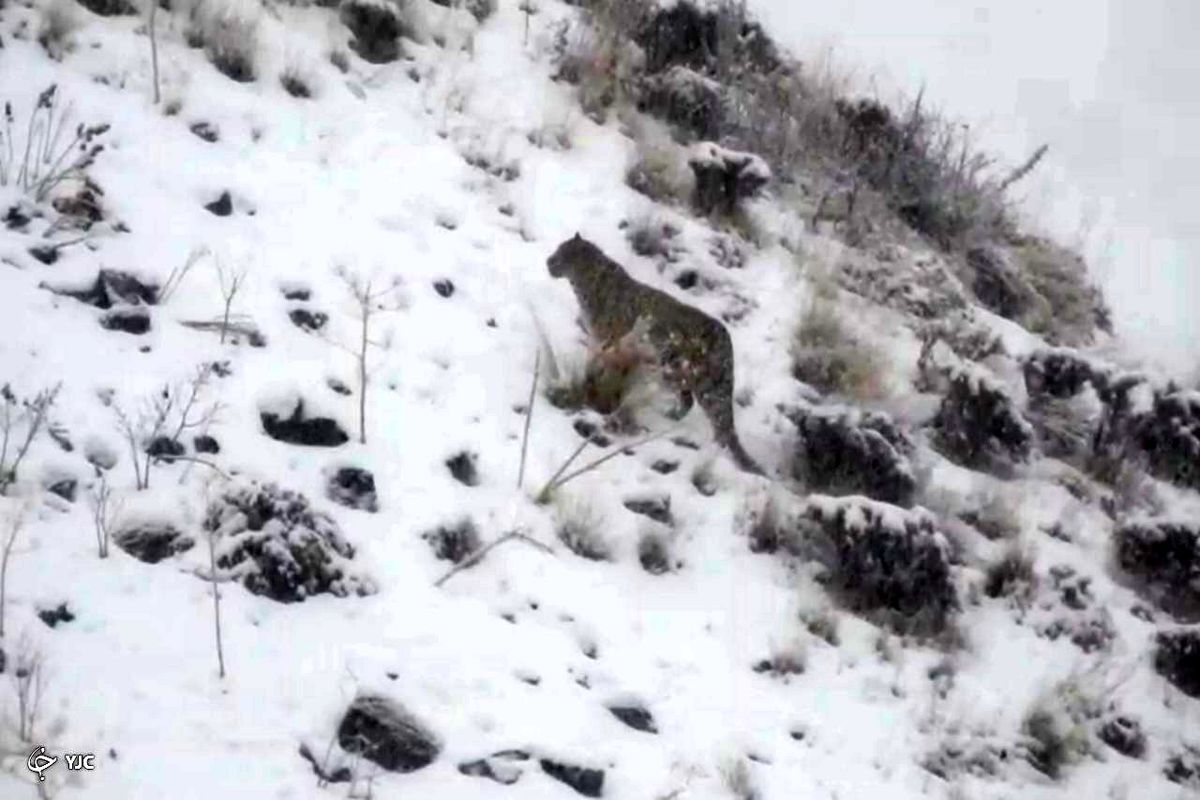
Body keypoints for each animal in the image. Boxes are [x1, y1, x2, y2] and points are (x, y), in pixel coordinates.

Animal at [547, 231, 763, 474]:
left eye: (561, 253)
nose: (548, 261)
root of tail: (726, 341)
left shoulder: (604, 341)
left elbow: (597, 365)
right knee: (691, 404)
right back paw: (670, 417)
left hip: (688, 377)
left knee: (713, 418)